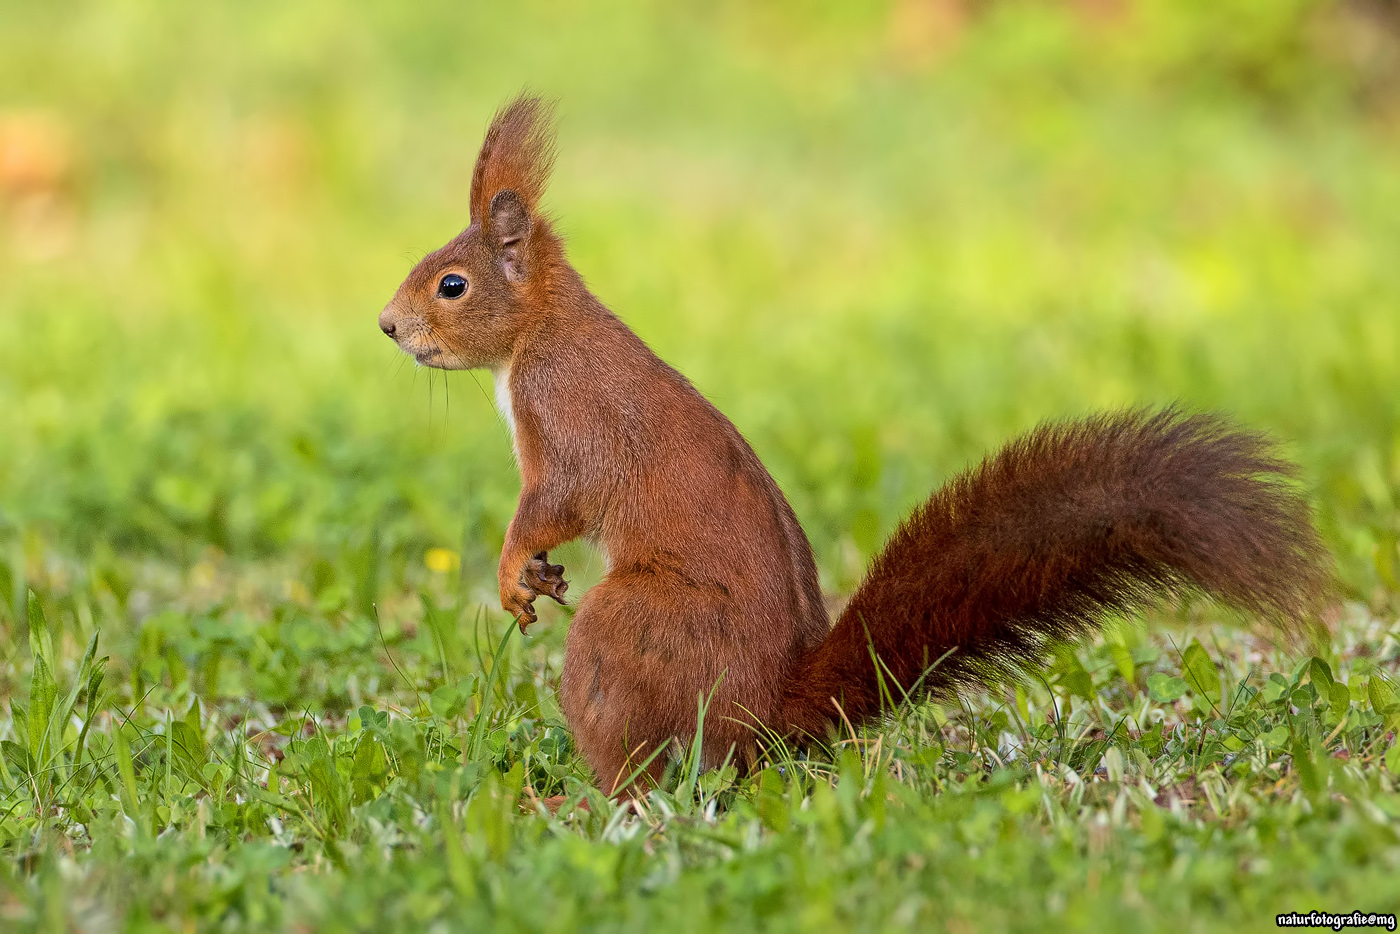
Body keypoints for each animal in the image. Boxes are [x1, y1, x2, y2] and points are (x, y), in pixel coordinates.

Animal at [378, 96, 1327, 795]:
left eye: (451, 285)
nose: (388, 327)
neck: (538, 331)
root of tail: (769, 711)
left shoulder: (569, 414)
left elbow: (555, 500)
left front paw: (512, 569)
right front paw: (534, 579)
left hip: (634, 630)